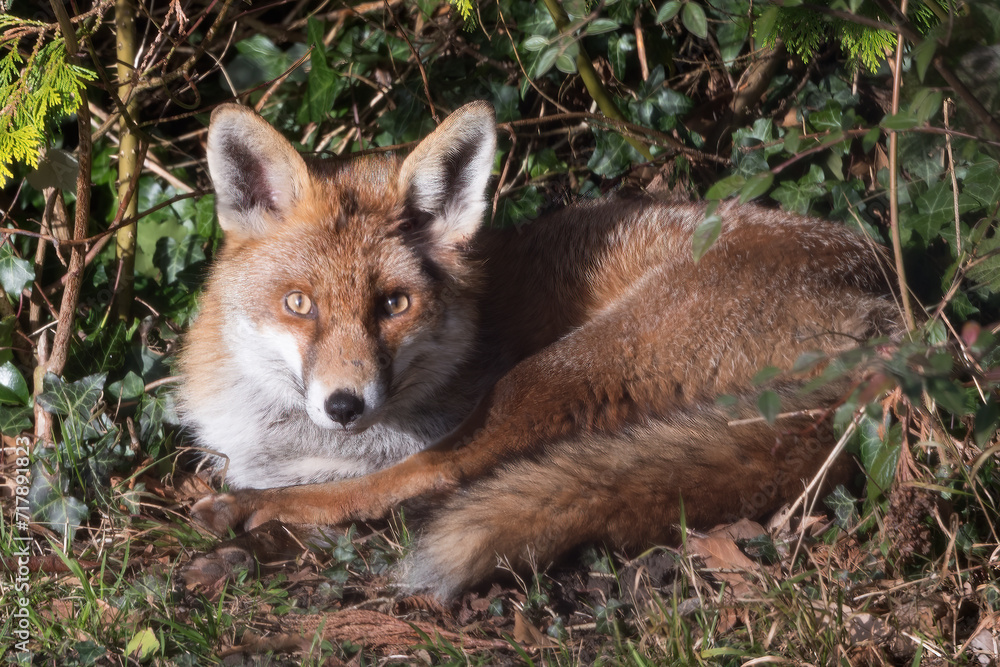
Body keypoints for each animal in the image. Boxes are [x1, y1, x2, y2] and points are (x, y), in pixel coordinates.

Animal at [179, 100, 903, 599]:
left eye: (394, 304)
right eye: (299, 304)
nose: (345, 405)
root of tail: (894, 314)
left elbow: (389, 473)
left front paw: (268, 505)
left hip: (565, 370)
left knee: (443, 474)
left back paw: (254, 514)